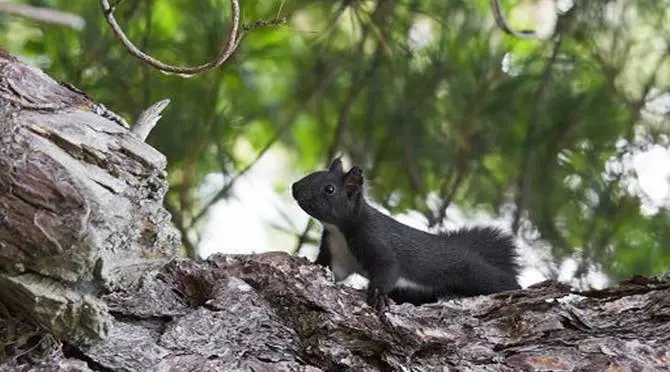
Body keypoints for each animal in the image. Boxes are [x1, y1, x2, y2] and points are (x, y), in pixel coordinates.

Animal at [292, 158, 524, 312]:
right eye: (314, 174)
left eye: (329, 189)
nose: (294, 187)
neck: (339, 230)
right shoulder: (336, 253)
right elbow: (329, 268)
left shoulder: (374, 238)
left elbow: (388, 267)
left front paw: (378, 296)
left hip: (475, 273)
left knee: (501, 281)